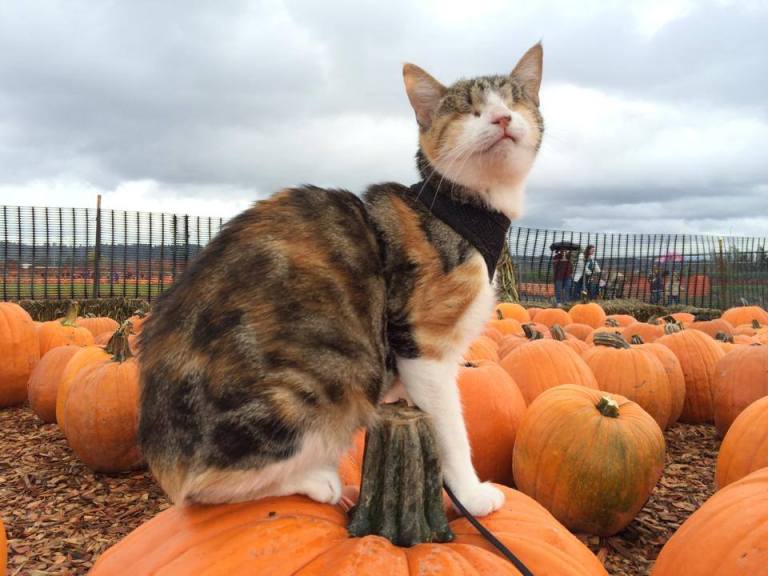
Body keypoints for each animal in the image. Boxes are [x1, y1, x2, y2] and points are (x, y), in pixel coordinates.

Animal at [140, 42, 544, 516]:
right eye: (469, 110)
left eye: (514, 100)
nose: (501, 118)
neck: (464, 210)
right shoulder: (422, 342)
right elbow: (450, 428)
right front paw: (470, 493)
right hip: (316, 387)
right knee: (200, 490)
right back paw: (317, 481)